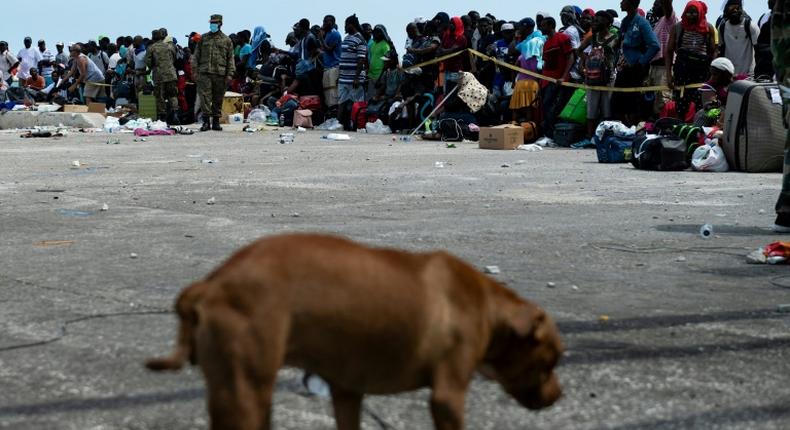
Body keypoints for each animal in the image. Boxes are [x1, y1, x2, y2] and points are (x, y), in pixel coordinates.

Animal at [147, 235, 564, 430]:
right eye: (550, 362)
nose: (559, 396)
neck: (489, 307)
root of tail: (211, 283)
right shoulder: (447, 395)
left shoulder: (347, 389)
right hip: (244, 389)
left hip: (247, 390)